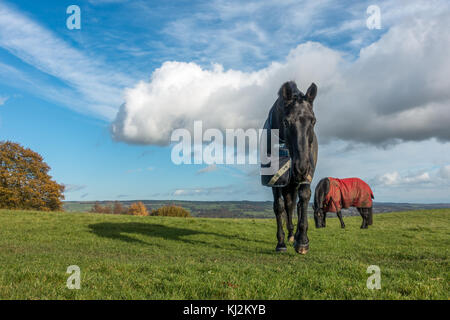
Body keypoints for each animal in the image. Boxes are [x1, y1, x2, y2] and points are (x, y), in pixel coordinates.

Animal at [266, 80, 318, 255]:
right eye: (286, 122)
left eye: (313, 121)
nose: (301, 168)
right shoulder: (275, 179)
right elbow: (279, 206)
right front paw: (281, 242)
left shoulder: (308, 174)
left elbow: (304, 198)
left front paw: (302, 241)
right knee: (288, 205)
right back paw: (289, 235)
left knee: (298, 204)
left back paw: (296, 236)